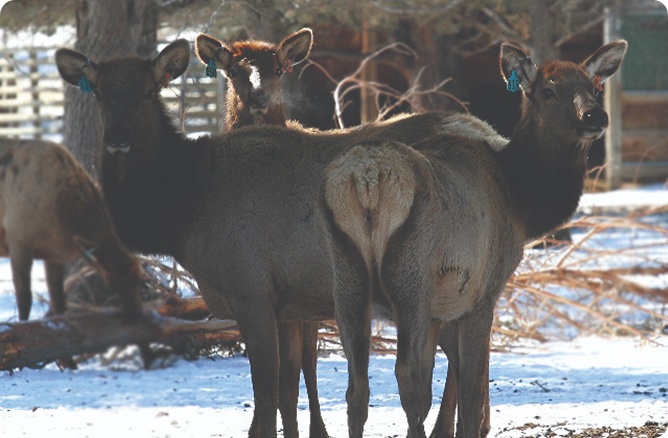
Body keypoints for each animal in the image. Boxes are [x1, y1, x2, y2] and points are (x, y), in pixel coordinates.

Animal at [0, 138, 144, 368]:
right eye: (110, 283)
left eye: (139, 280)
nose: (136, 318)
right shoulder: (18, 239)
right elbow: (24, 300)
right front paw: (20, 355)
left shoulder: (54, 255)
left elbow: (59, 305)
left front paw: (67, 362)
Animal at [195, 28, 327, 438]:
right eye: (234, 70)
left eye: (278, 68)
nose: (258, 96)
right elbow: (269, 381)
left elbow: (289, 378)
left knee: (309, 367)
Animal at [319, 40, 627, 438]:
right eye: (548, 91)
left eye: (593, 88)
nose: (595, 116)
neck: (521, 205)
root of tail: (366, 179)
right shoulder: (483, 292)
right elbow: (470, 390)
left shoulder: (441, 307)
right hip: (410, 279)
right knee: (406, 375)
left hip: (346, 280)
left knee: (358, 387)